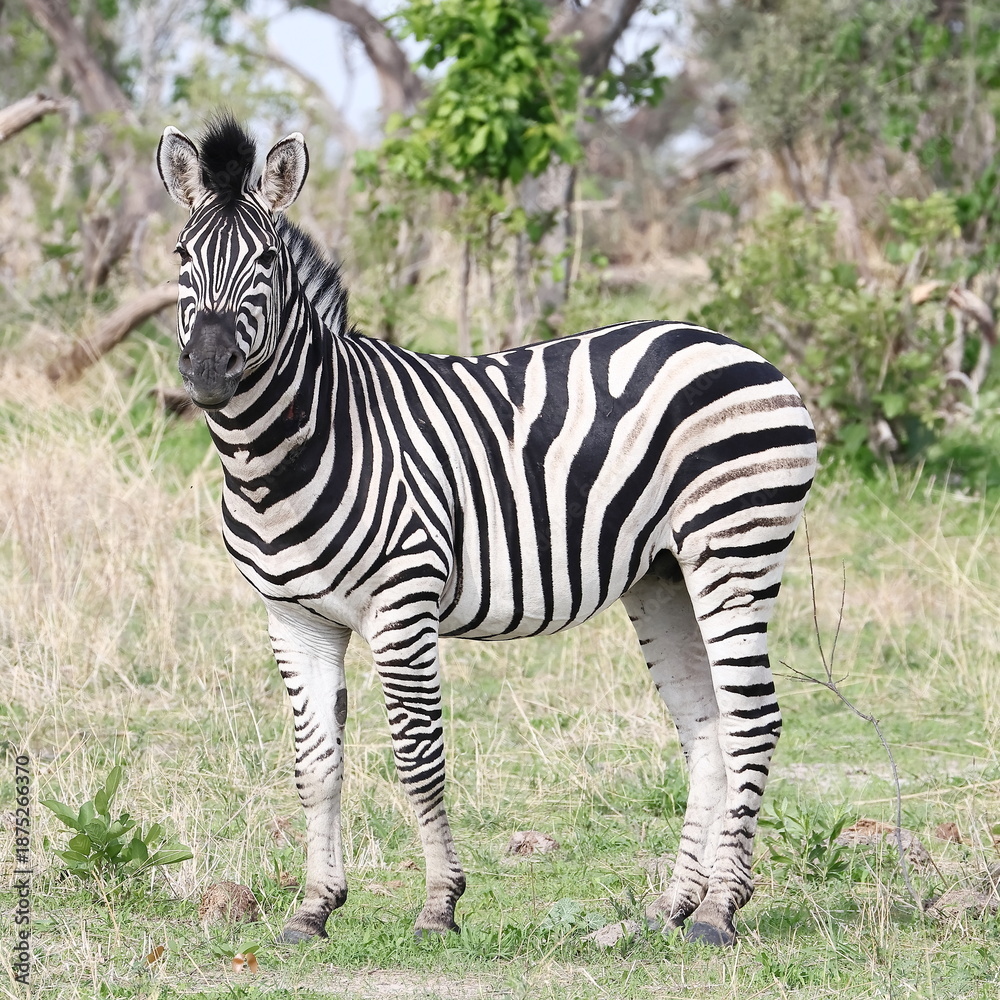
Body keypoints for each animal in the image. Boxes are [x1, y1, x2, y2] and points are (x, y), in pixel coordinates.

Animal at [156, 115, 817, 948]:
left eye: (267, 262)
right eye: (182, 257)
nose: (209, 373)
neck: (291, 449)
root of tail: (743, 351)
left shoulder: (402, 604)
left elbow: (418, 757)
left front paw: (440, 903)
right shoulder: (293, 617)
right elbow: (316, 763)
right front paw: (313, 906)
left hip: (733, 551)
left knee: (753, 720)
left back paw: (720, 911)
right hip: (664, 575)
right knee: (706, 726)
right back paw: (671, 906)